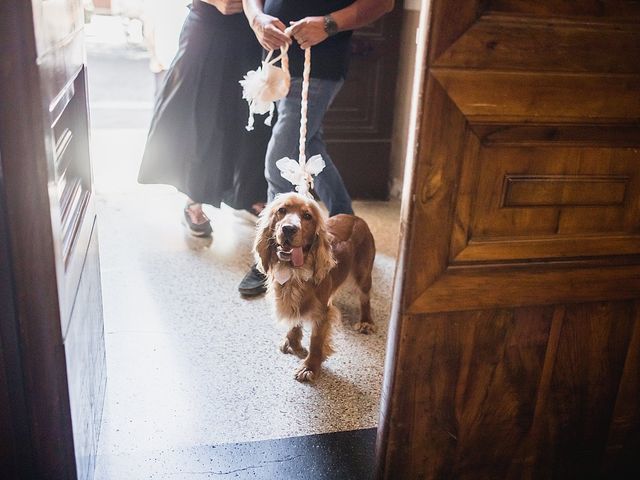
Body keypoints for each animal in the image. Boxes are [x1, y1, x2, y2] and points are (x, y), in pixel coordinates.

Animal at [254, 191, 376, 382]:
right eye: (282, 210)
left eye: (307, 216)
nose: (288, 229)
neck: (294, 271)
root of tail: (357, 218)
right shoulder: (293, 302)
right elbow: (294, 324)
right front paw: (293, 344)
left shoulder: (322, 312)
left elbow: (316, 341)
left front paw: (309, 367)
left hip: (363, 274)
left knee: (365, 298)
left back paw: (365, 322)